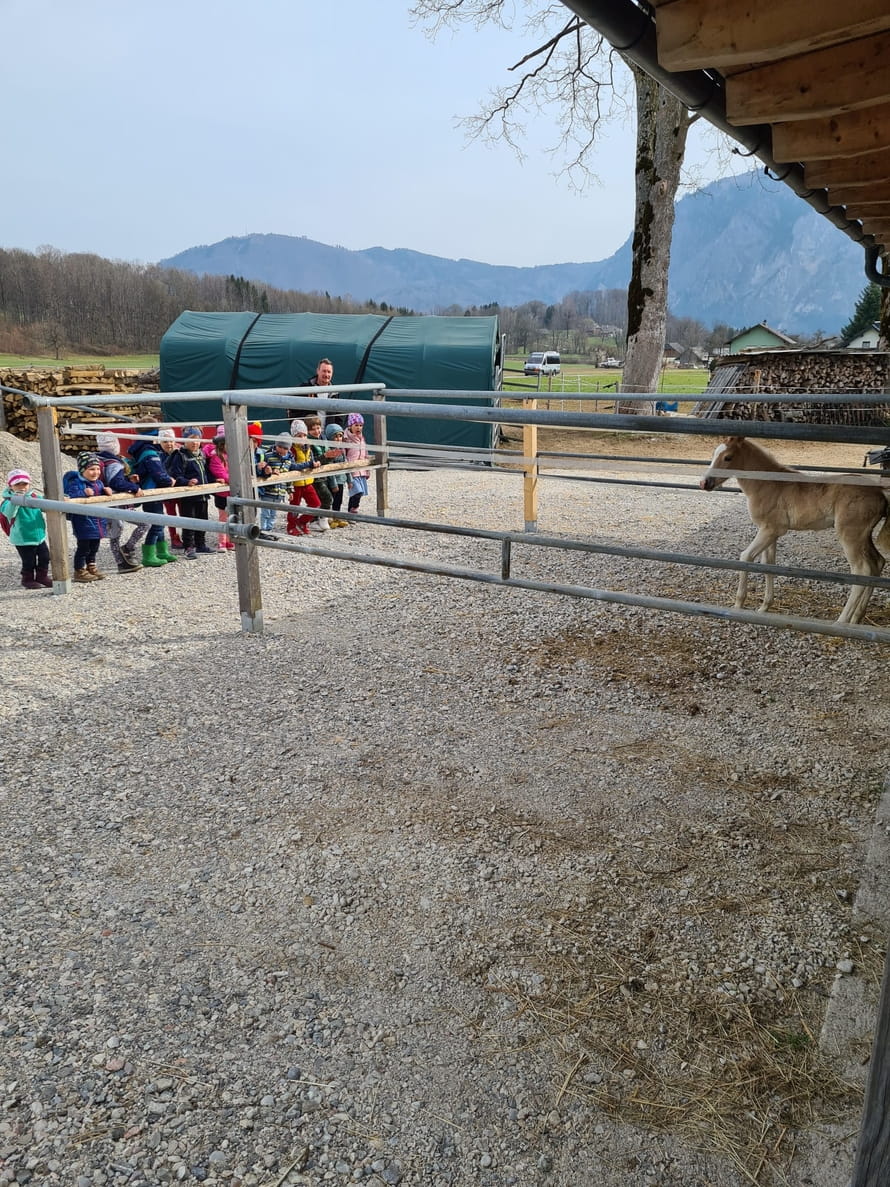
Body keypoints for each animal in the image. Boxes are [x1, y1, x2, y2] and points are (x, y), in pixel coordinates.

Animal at [702, 436, 890, 621]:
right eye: (713, 454)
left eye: (728, 457)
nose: (704, 483)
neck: (766, 484)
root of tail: (880, 492)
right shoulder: (770, 531)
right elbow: (768, 564)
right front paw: (764, 607)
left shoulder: (771, 530)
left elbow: (746, 557)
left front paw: (738, 604)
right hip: (864, 536)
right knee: (877, 563)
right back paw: (857, 617)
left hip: (850, 535)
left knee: (862, 569)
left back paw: (842, 622)